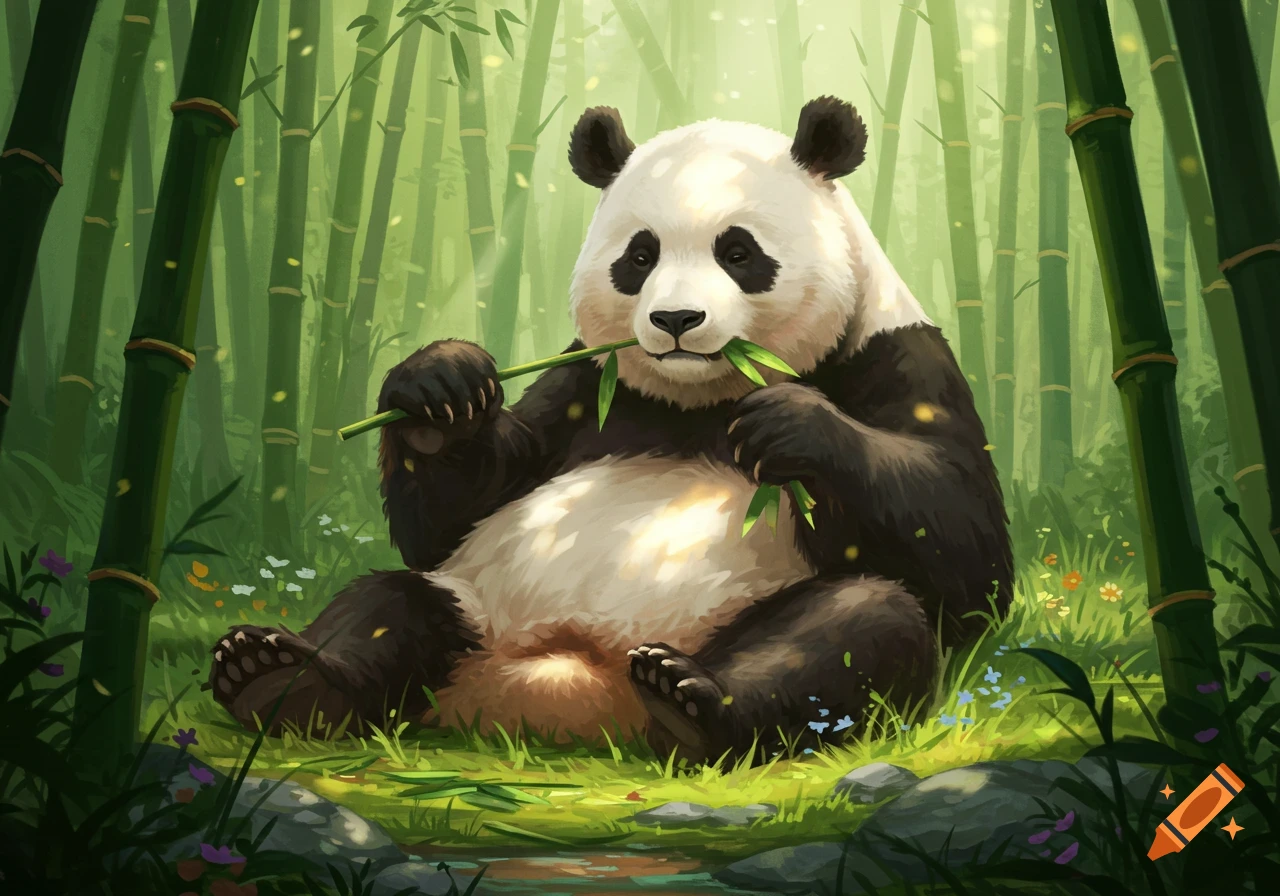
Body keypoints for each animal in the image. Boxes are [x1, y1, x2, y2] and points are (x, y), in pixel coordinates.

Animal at [208, 97, 1012, 765]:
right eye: (640, 255)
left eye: (739, 252)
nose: (677, 319)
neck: (700, 398)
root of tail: (568, 690)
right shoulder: (581, 383)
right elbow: (454, 514)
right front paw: (442, 388)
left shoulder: (895, 355)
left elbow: (968, 560)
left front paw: (790, 424)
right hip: (479, 610)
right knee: (392, 599)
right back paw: (277, 678)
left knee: (860, 622)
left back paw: (694, 703)